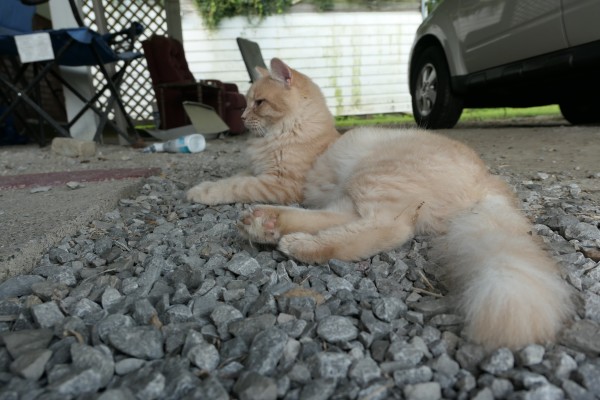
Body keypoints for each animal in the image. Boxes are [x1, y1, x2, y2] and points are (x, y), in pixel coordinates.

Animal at [188, 57, 572, 348]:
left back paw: (297, 243)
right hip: (352, 193)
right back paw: (265, 225)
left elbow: (233, 184)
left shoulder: (279, 183)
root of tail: (487, 178)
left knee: (385, 229)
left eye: (259, 103)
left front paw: (197, 191)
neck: (303, 131)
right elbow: (237, 175)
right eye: (247, 102)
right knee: (335, 220)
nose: (241, 120)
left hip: (373, 181)